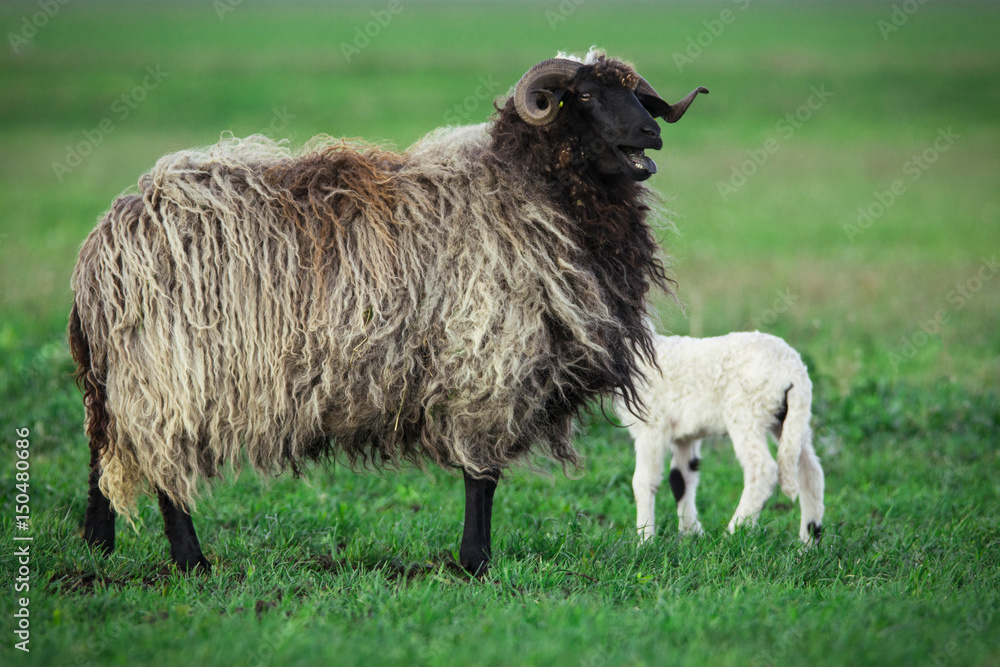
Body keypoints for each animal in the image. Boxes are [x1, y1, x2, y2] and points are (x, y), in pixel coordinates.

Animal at [70, 49, 708, 576]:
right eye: (585, 97)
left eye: (635, 92)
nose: (651, 133)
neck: (529, 193)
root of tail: (104, 246)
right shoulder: (487, 360)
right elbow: (482, 478)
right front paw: (475, 562)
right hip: (171, 374)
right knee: (163, 471)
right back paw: (192, 563)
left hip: (126, 377)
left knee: (102, 452)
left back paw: (97, 546)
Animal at [616, 332, 828, 544]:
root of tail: (793, 371)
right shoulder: (685, 434)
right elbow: (680, 479)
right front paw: (691, 535)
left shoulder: (651, 426)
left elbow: (643, 482)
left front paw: (645, 540)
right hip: (791, 419)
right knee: (810, 470)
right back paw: (808, 542)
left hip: (746, 413)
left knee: (762, 469)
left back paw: (732, 535)